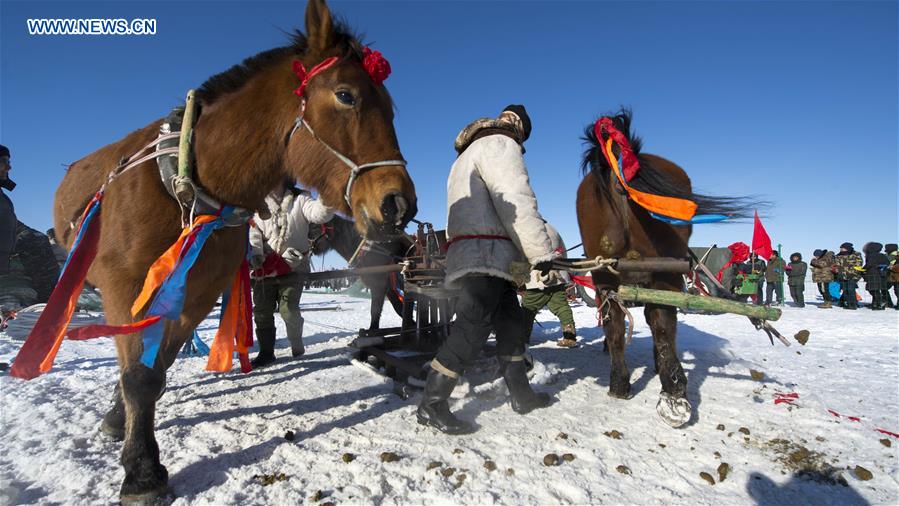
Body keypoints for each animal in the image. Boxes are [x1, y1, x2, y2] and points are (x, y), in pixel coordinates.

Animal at [50, 0, 414, 502]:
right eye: (346, 95)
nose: (399, 202)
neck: (188, 187)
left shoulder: (198, 292)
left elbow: (155, 366)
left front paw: (126, 425)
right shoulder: (125, 286)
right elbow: (139, 374)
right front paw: (141, 470)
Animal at [576, 110, 752, 426]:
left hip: (608, 273)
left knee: (620, 324)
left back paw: (634, 386)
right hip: (663, 271)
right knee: (659, 323)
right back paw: (668, 389)